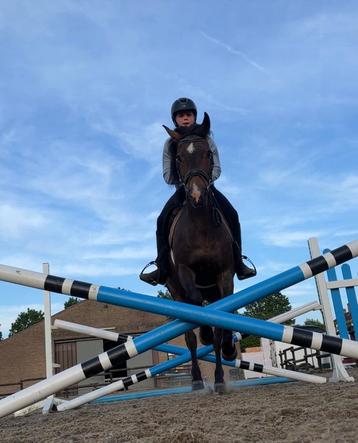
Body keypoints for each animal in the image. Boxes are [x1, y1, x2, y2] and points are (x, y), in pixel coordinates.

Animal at [163, 112, 236, 394]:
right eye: (179, 158)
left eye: (208, 153)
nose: (196, 195)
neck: (201, 225)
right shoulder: (185, 273)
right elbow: (197, 309)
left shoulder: (224, 274)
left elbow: (222, 322)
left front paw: (222, 368)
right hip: (175, 290)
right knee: (190, 336)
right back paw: (195, 378)